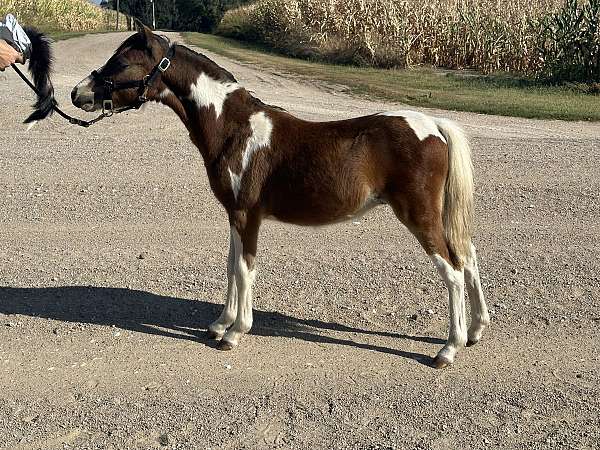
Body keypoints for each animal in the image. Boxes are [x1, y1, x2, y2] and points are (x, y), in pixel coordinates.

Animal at [71, 22, 492, 368]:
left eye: (122, 62)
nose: (77, 94)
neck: (233, 128)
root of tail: (433, 125)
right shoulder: (234, 214)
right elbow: (232, 265)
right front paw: (220, 323)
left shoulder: (246, 214)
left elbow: (245, 269)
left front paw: (235, 332)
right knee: (468, 256)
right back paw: (475, 332)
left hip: (418, 215)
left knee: (453, 270)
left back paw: (448, 349)